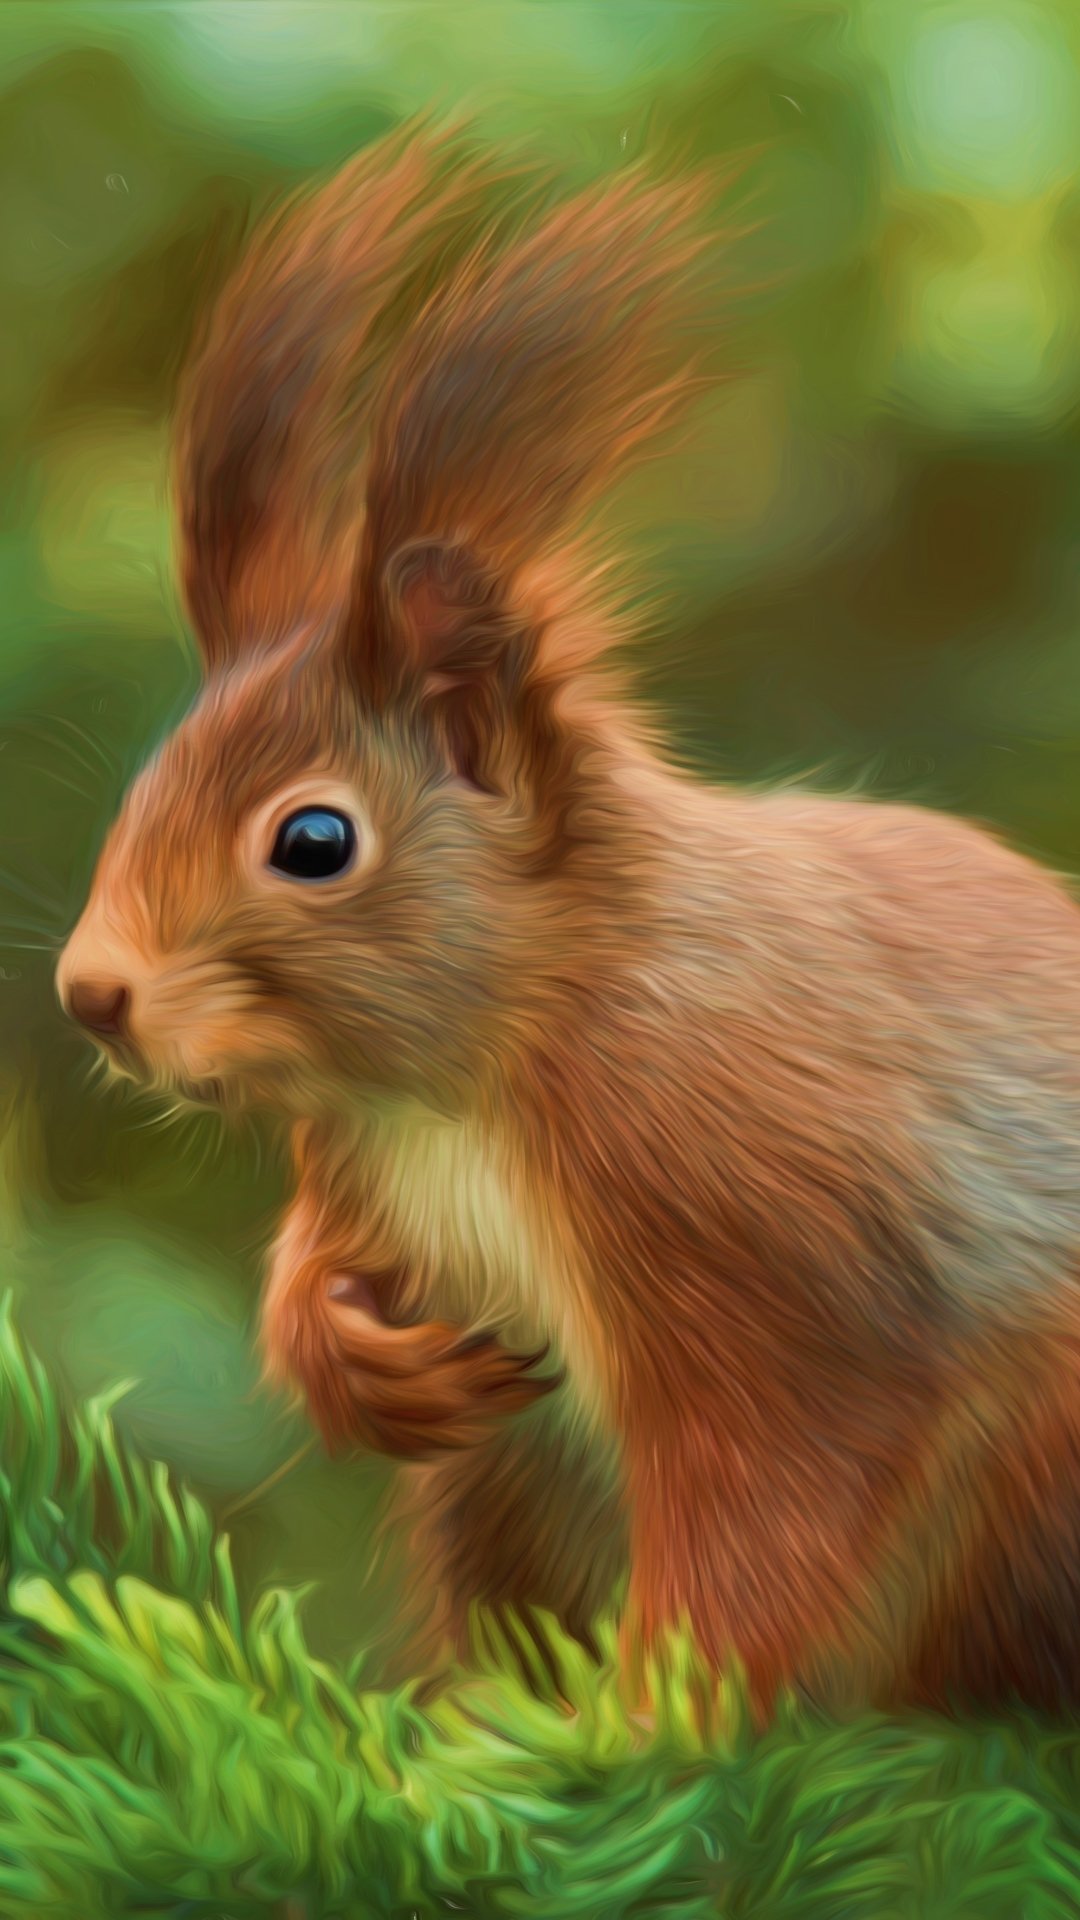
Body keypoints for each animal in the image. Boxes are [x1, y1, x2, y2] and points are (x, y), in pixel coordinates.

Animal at [56, 118, 1080, 1721]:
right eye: (150, 779)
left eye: (312, 841)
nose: (89, 992)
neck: (466, 1083)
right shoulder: (363, 1165)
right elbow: (311, 1265)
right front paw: (347, 1352)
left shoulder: (751, 1208)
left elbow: (772, 1502)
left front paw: (649, 1729)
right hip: (502, 1489)